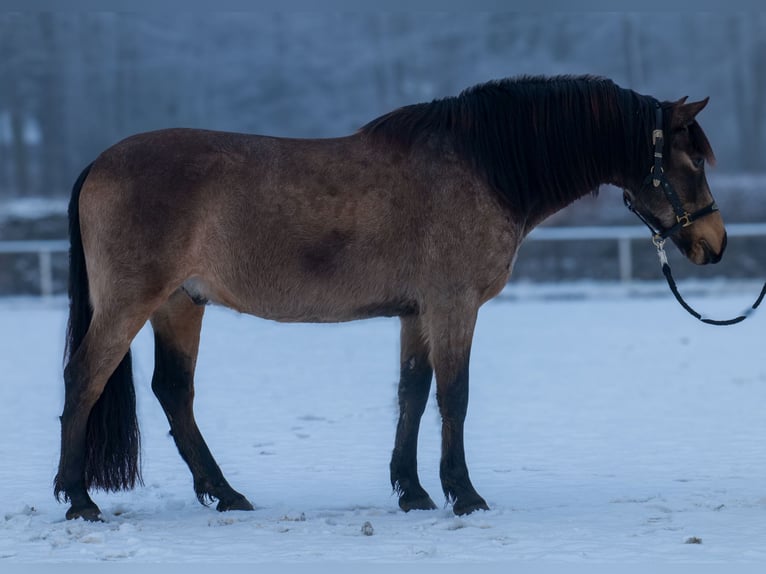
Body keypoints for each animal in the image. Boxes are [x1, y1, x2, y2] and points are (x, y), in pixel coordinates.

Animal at [55, 75, 726, 521]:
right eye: (691, 160)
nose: (714, 244)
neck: (483, 166)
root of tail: (98, 164)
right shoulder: (453, 305)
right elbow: (454, 396)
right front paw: (464, 494)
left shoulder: (416, 312)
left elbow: (413, 394)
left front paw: (414, 491)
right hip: (130, 303)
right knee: (85, 377)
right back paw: (79, 498)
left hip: (179, 304)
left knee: (174, 391)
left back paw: (226, 494)